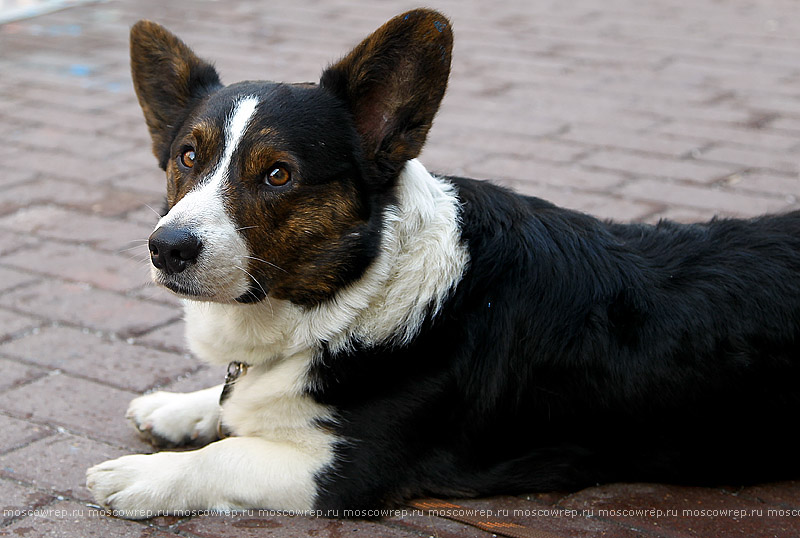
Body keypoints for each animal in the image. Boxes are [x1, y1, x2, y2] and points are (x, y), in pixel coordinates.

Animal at [86, 7, 800, 516]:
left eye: (278, 174)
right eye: (187, 157)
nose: (166, 247)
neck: (348, 301)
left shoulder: (339, 473)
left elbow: (229, 453)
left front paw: (141, 475)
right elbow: (232, 402)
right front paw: (180, 407)